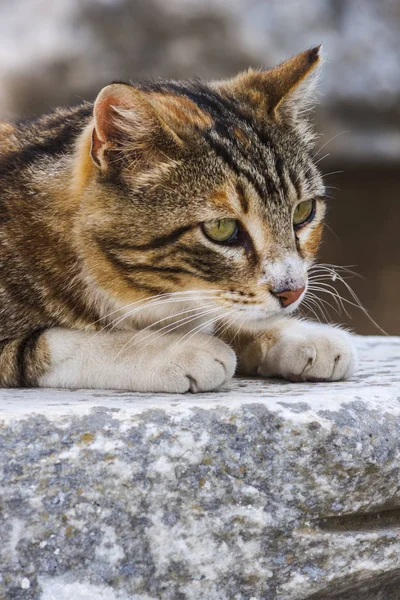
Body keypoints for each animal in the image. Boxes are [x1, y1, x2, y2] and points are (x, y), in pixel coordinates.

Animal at [0, 48, 356, 394]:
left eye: (303, 211)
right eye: (221, 229)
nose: (292, 292)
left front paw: (295, 335)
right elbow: (50, 343)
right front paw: (170, 349)